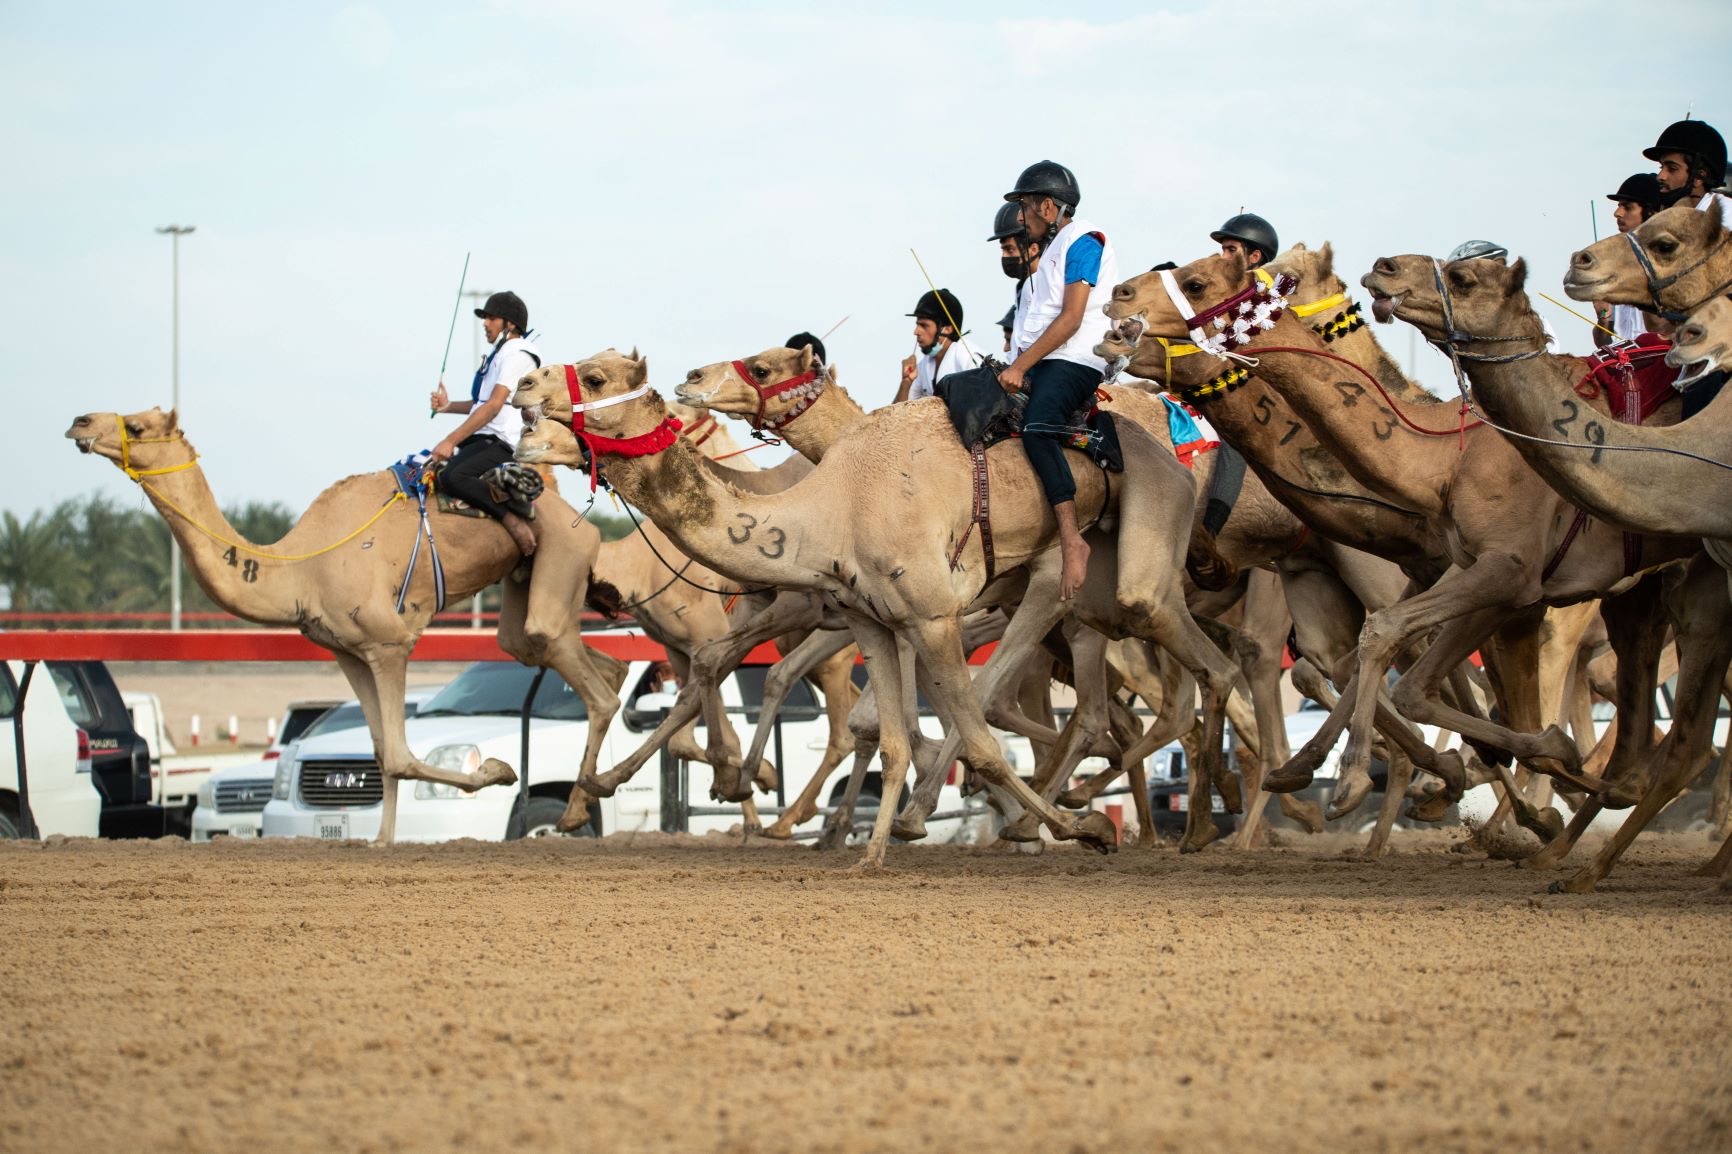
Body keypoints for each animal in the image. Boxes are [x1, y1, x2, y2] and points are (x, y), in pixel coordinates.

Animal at [74, 403, 633, 835]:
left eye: (137, 426)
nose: (80, 422)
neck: (301, 569)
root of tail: (580, 518)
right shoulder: (347, 651)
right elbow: (383, 753)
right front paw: (381, 841)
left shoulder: (388, 643)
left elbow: (401, 754)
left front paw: (497, 771)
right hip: (524, 581)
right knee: (562, 654)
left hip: (563, 553)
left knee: (588, 682)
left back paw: (576, 808)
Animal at [512, 348, 1247, 862]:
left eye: (595, 376)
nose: (523, 399)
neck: (829, 506)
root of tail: (1174, 453)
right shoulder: (871, 620)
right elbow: (889, 735)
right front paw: (866, 851)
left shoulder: (932, 615)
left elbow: (978, 740)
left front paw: (1082, 828)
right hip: (1086, 605)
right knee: (1145, 694)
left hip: (1123, 567)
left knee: (1181, 669)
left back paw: (1193, 822)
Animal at [1094, 251, 1704, 880]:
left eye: (1194, 281)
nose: (1118, 313)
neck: (1439, 458)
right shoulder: (1461, 576)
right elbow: (1383, 664)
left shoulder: (1504, 579)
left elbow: (1429, 666)